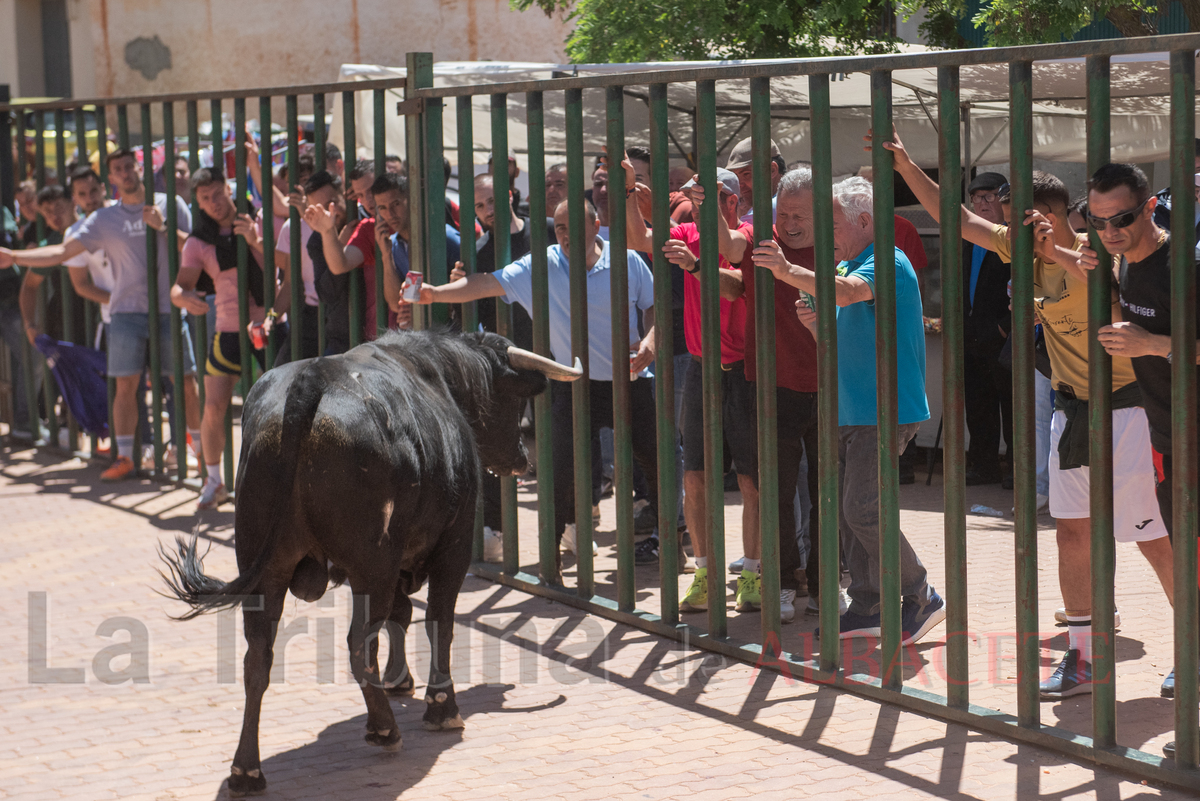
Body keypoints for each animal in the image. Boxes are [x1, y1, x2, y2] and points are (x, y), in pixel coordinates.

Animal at [159, 330, 580, 796]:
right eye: (512, 400)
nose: (523, 459)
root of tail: (311, 379)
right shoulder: (451, 546)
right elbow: (438, 621)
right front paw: (441, 706)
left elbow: (402, 614)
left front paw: (400, 679)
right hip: (370, 565)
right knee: (360, 642)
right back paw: (384, 728)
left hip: (266, 569)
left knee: (259, 658)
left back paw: (246, 770)